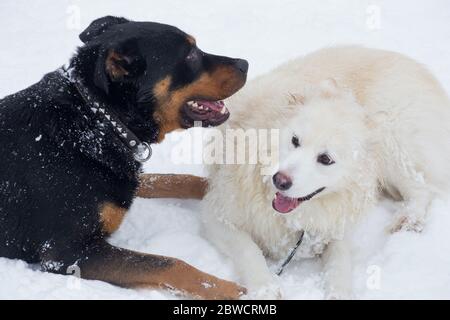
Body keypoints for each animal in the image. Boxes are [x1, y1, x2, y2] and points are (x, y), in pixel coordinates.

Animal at [0, 15, 246, 300]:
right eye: (191, 54)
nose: (245, 64)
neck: (96, 121)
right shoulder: (65, 253)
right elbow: (169, 264)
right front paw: (234, 291)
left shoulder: (124, 179)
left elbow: (175, 178)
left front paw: (215, 189)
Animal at [202, 46, 450, 298]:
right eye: (295, 140)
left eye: (325, 159)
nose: (280, 180)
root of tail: (416, 66)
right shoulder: (216, 215)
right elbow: (248, 249)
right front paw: (265, 288)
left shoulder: (337, 225)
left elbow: (339, 261)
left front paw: (339, 292)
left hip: (394, 142)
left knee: (422, 188)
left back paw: (410, 218)